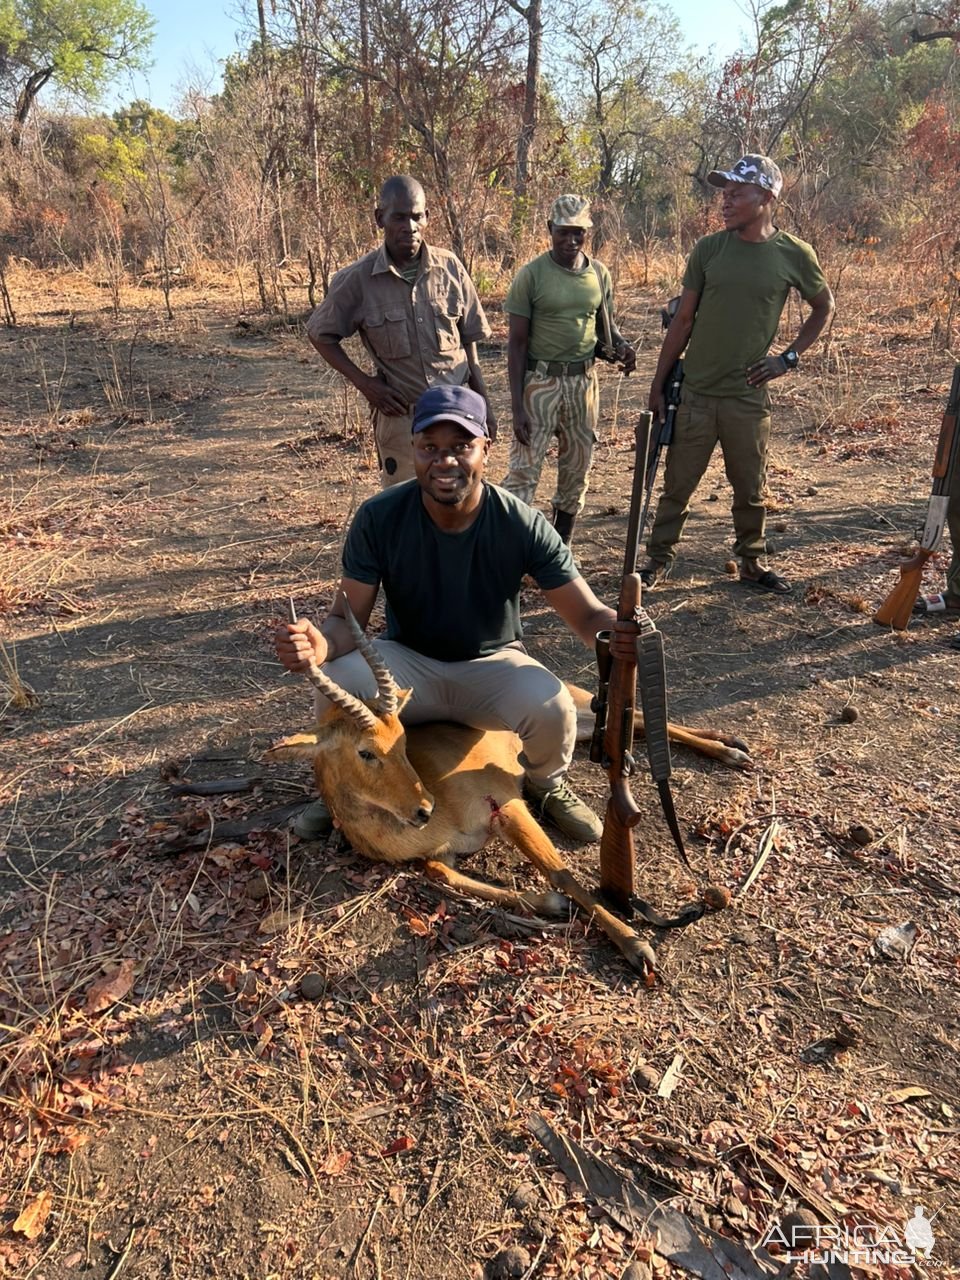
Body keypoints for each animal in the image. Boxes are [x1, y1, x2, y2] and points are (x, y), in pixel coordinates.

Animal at [268, 624, 752, 972]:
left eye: (403, 738)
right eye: (365, 751)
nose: (423, 809)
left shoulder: (507, 806)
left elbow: (562, 874)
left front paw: (635, 944)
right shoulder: (440, 853)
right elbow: (441, 874)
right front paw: (548, 905)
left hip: (579, 707)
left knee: (642, 722)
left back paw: (733, 752)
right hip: (586, 727)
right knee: (637, 726)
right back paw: (728, 743)